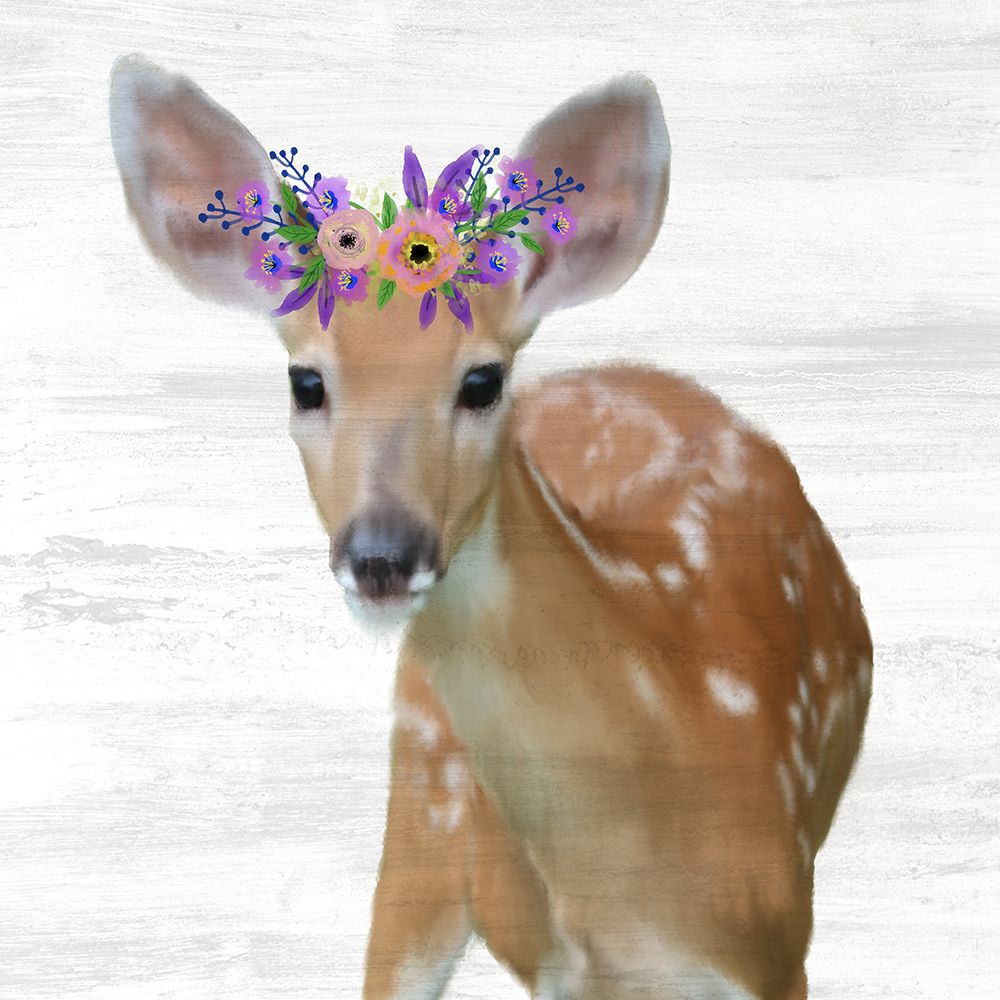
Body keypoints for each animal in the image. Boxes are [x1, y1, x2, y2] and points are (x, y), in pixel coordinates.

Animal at [109, 54, 873, 1000]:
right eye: (305, 381)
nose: (382, 554)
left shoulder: (776, 943)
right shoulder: (557, 963)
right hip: (421, 815)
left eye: (480, 380)